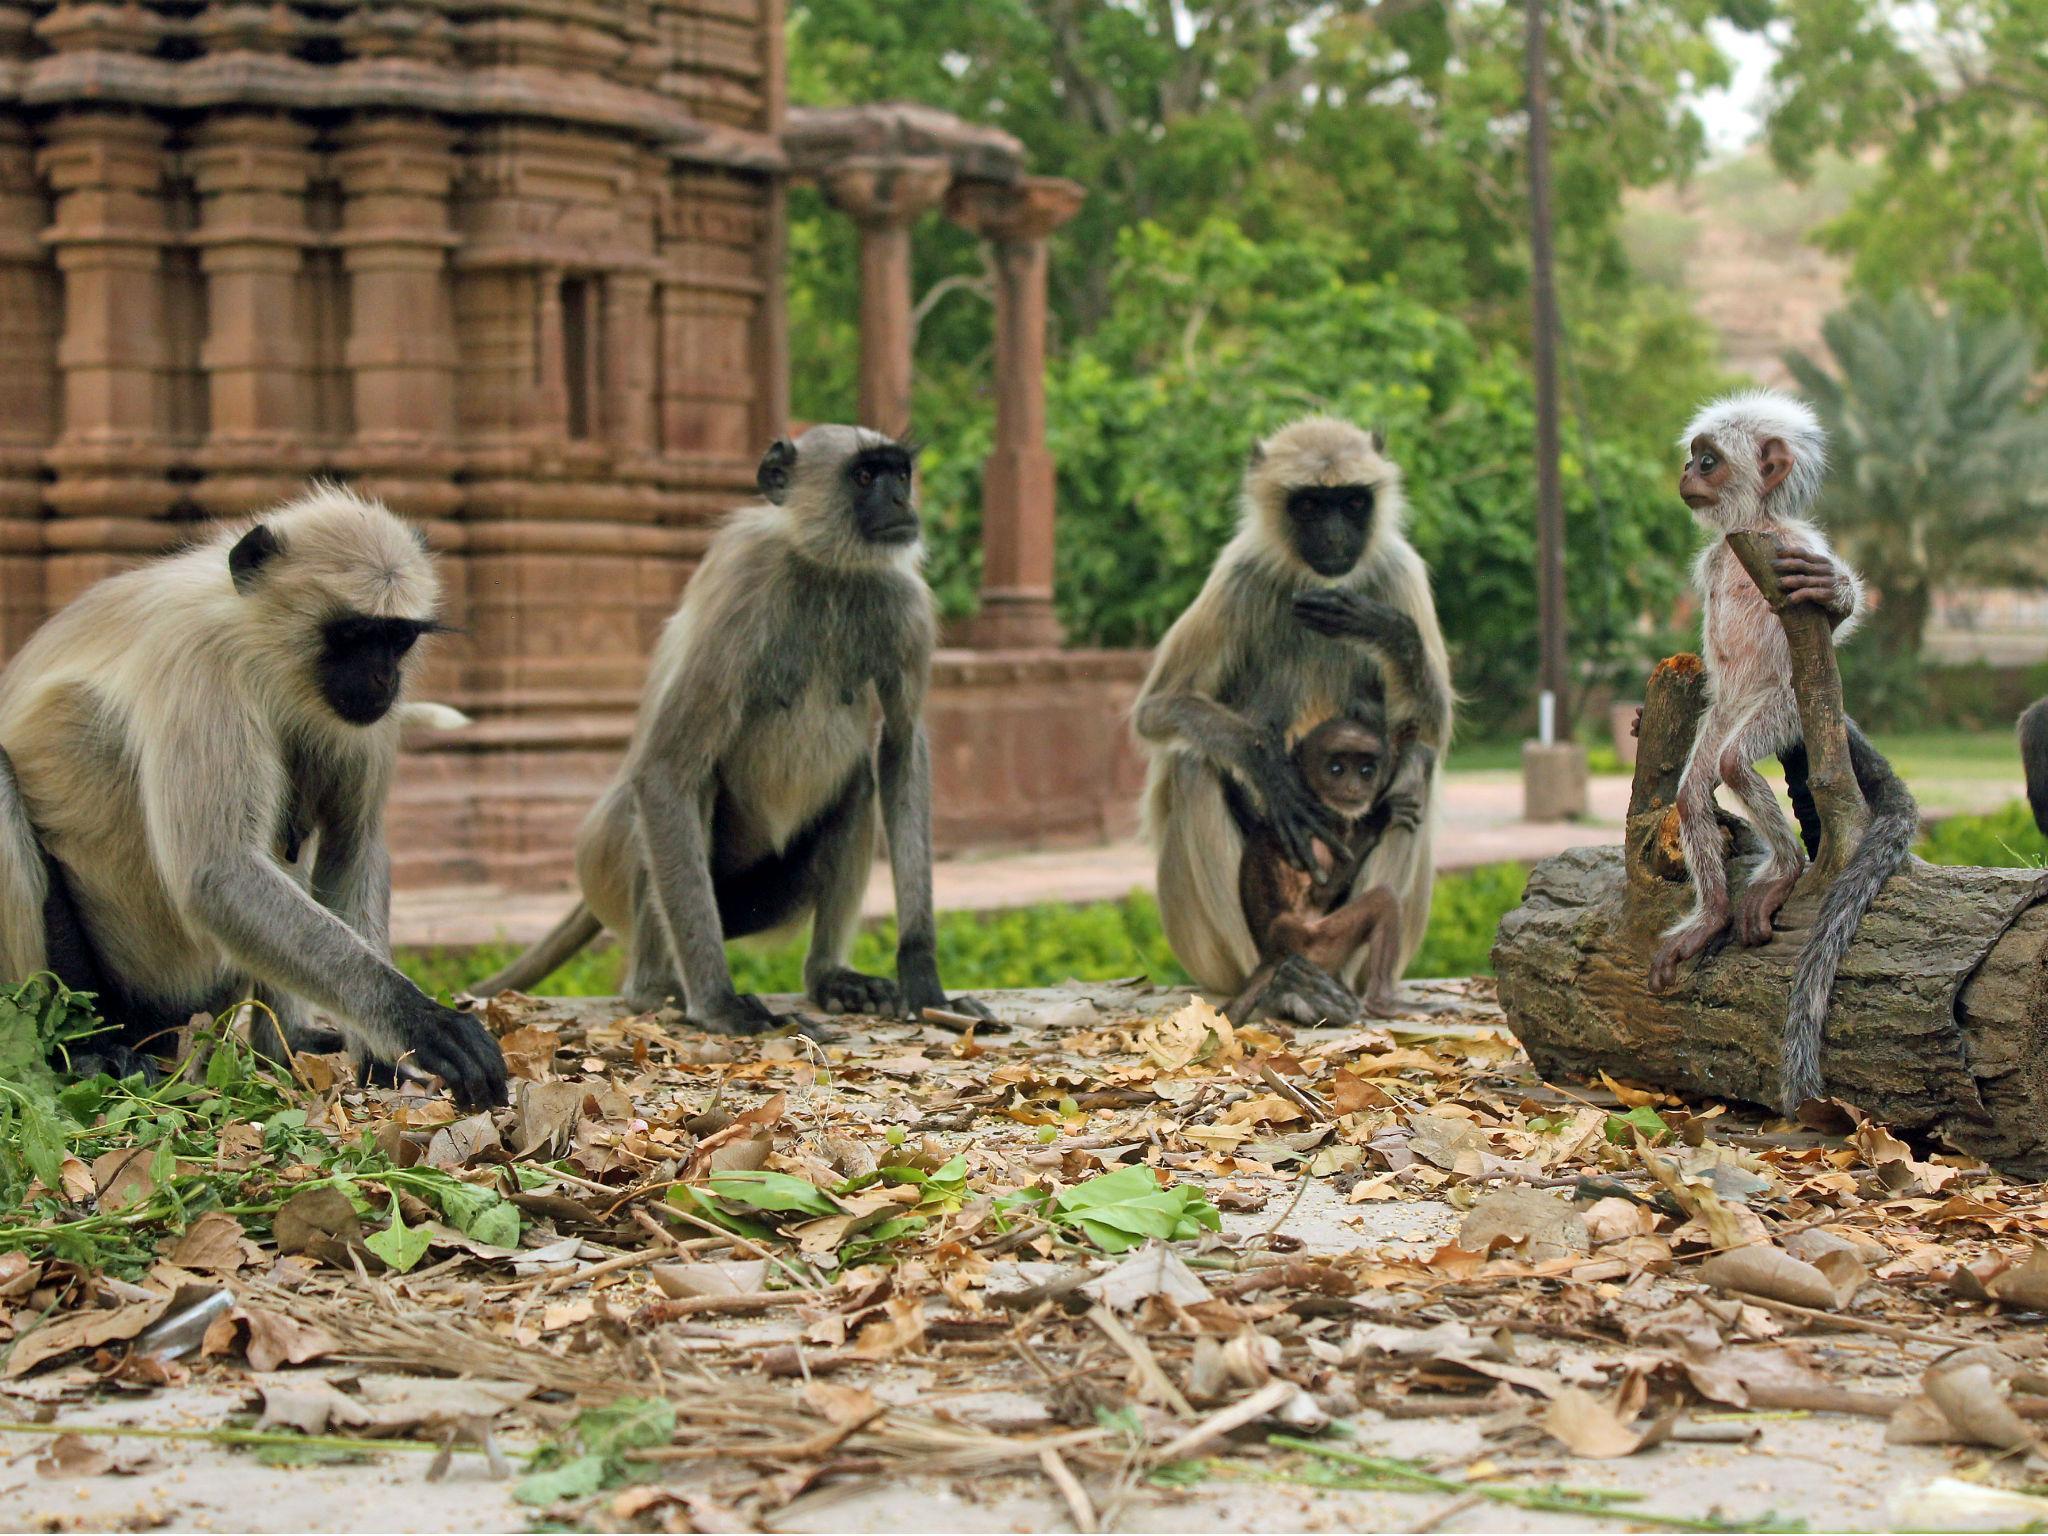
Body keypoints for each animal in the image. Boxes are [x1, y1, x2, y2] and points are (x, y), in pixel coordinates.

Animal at [0, 489, 507, 1105]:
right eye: (351, 636)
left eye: (397, 638)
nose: (384, 680)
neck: (256, 639)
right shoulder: (200, 661)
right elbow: (218, 874)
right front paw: (419, 1021)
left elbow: (349, 846)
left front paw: (381, 1055)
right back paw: (82, 1055)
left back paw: (280, 1045)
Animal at [483, 428, 987, 1036]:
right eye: (865, 477)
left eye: (900, 474)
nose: (900, 503)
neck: (824, 569)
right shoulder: (744, 590)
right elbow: (664, 773)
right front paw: (719, 1002)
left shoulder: (904, 605)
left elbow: (900, 745)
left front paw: (923, 979)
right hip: (613, 865)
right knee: (686, 788)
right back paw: (655, 988)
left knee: (858, 784)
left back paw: (829, 976)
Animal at [1228, 716, 1425, 1028]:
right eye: (1336, 769)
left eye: (1366, 771)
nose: (1355, 787)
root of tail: (1272, 954)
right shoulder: (1314, 831)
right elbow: (1321, 893)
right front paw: (1381, 816)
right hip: (1314, 943)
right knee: (1384, 899)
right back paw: (1382, 1005)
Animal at [1646, 393, 1916, 1122]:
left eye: (1708, 460)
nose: (1686, 474)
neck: (1750, 531)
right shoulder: (1718, 562)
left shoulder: (1791, 546)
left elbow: (1832, 607)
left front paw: (1836, 593)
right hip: (1730, 709)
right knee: (1696, 786)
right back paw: (1712, 913)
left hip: (1782, 704)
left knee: (1734, 764)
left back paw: (1789, 866)